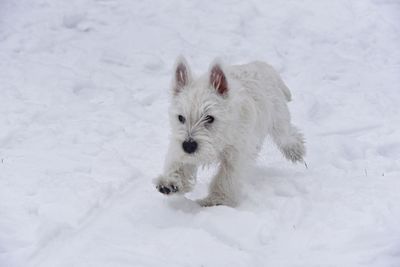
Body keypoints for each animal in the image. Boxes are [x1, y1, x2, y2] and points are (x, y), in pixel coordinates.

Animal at [155, 56, 304, 207]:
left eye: (209, 118)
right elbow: (179, 163)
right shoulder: (180, 144)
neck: (223, 135)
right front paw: (170, 182)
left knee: (288, 136)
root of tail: (263, 65)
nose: (189, 146)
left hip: (278, 119)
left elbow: (225, 178)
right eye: (181, 118)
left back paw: (296, 152)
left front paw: (217, 199)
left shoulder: (236, 154)